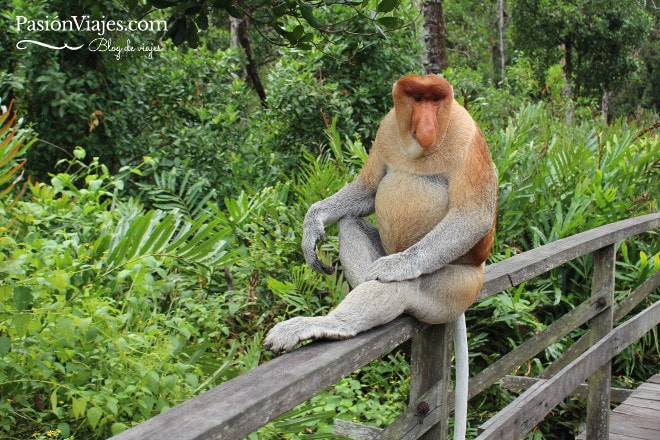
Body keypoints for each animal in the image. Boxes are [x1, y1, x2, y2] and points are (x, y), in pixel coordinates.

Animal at [266, 74, 498, 438]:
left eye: (435, 101)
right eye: (417, 99)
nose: (427, 125)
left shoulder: (467, 136)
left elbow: (473, 215)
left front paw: (397, 265)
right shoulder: (387, 129)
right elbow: (369, 189)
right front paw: (311, 226)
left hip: (458, 288)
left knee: (405, 287)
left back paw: (332, 323)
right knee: (349, 223)